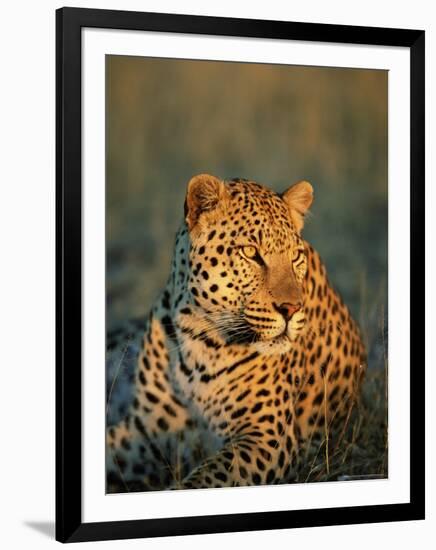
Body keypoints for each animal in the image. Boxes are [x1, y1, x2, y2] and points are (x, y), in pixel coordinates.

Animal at [107, 172, 366, 492]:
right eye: (251, 252)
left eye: (296, 256)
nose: (291, 309)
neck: (200, 334)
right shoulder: (145, 429)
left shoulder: (267, 436)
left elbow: (206, 478)